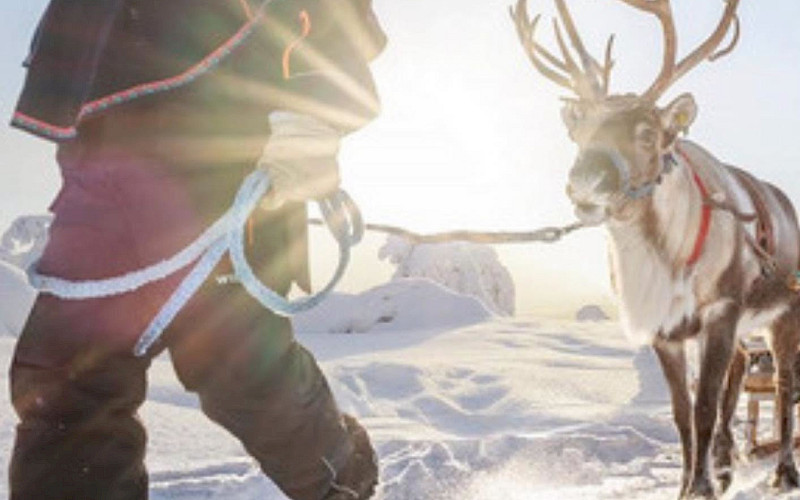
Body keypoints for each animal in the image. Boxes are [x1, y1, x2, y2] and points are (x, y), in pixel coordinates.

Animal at [510, 0, 800, 497]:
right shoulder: (665, 331)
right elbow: (683, 413)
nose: (583, 183)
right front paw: (690, 483)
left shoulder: (722, 310)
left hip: (782, 315)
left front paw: (701, 487)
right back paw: (725, 464)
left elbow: (704, 407)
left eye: (646, 132)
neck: (664, 264)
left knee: (783, 383)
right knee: (741, 369)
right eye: (578, 132)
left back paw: (783, 471)